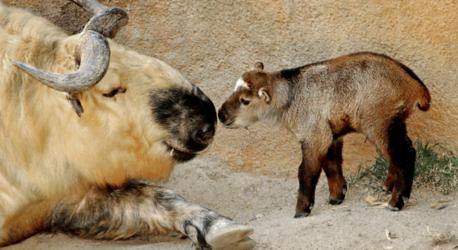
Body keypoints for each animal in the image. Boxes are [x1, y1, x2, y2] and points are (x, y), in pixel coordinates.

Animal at [217, 52, 430, 217]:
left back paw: (396, 202)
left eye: (245, 101)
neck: (291, 95)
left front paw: (302, 210)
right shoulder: (331, 135)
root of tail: (416, 86)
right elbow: (332, 166)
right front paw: (336, 197)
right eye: (234, 88)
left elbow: (306, 172)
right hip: (394, 125)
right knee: (401, 152)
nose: (220, 115)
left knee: (405, 155)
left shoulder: (314, 136)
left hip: (379, 125)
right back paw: (388, 187)